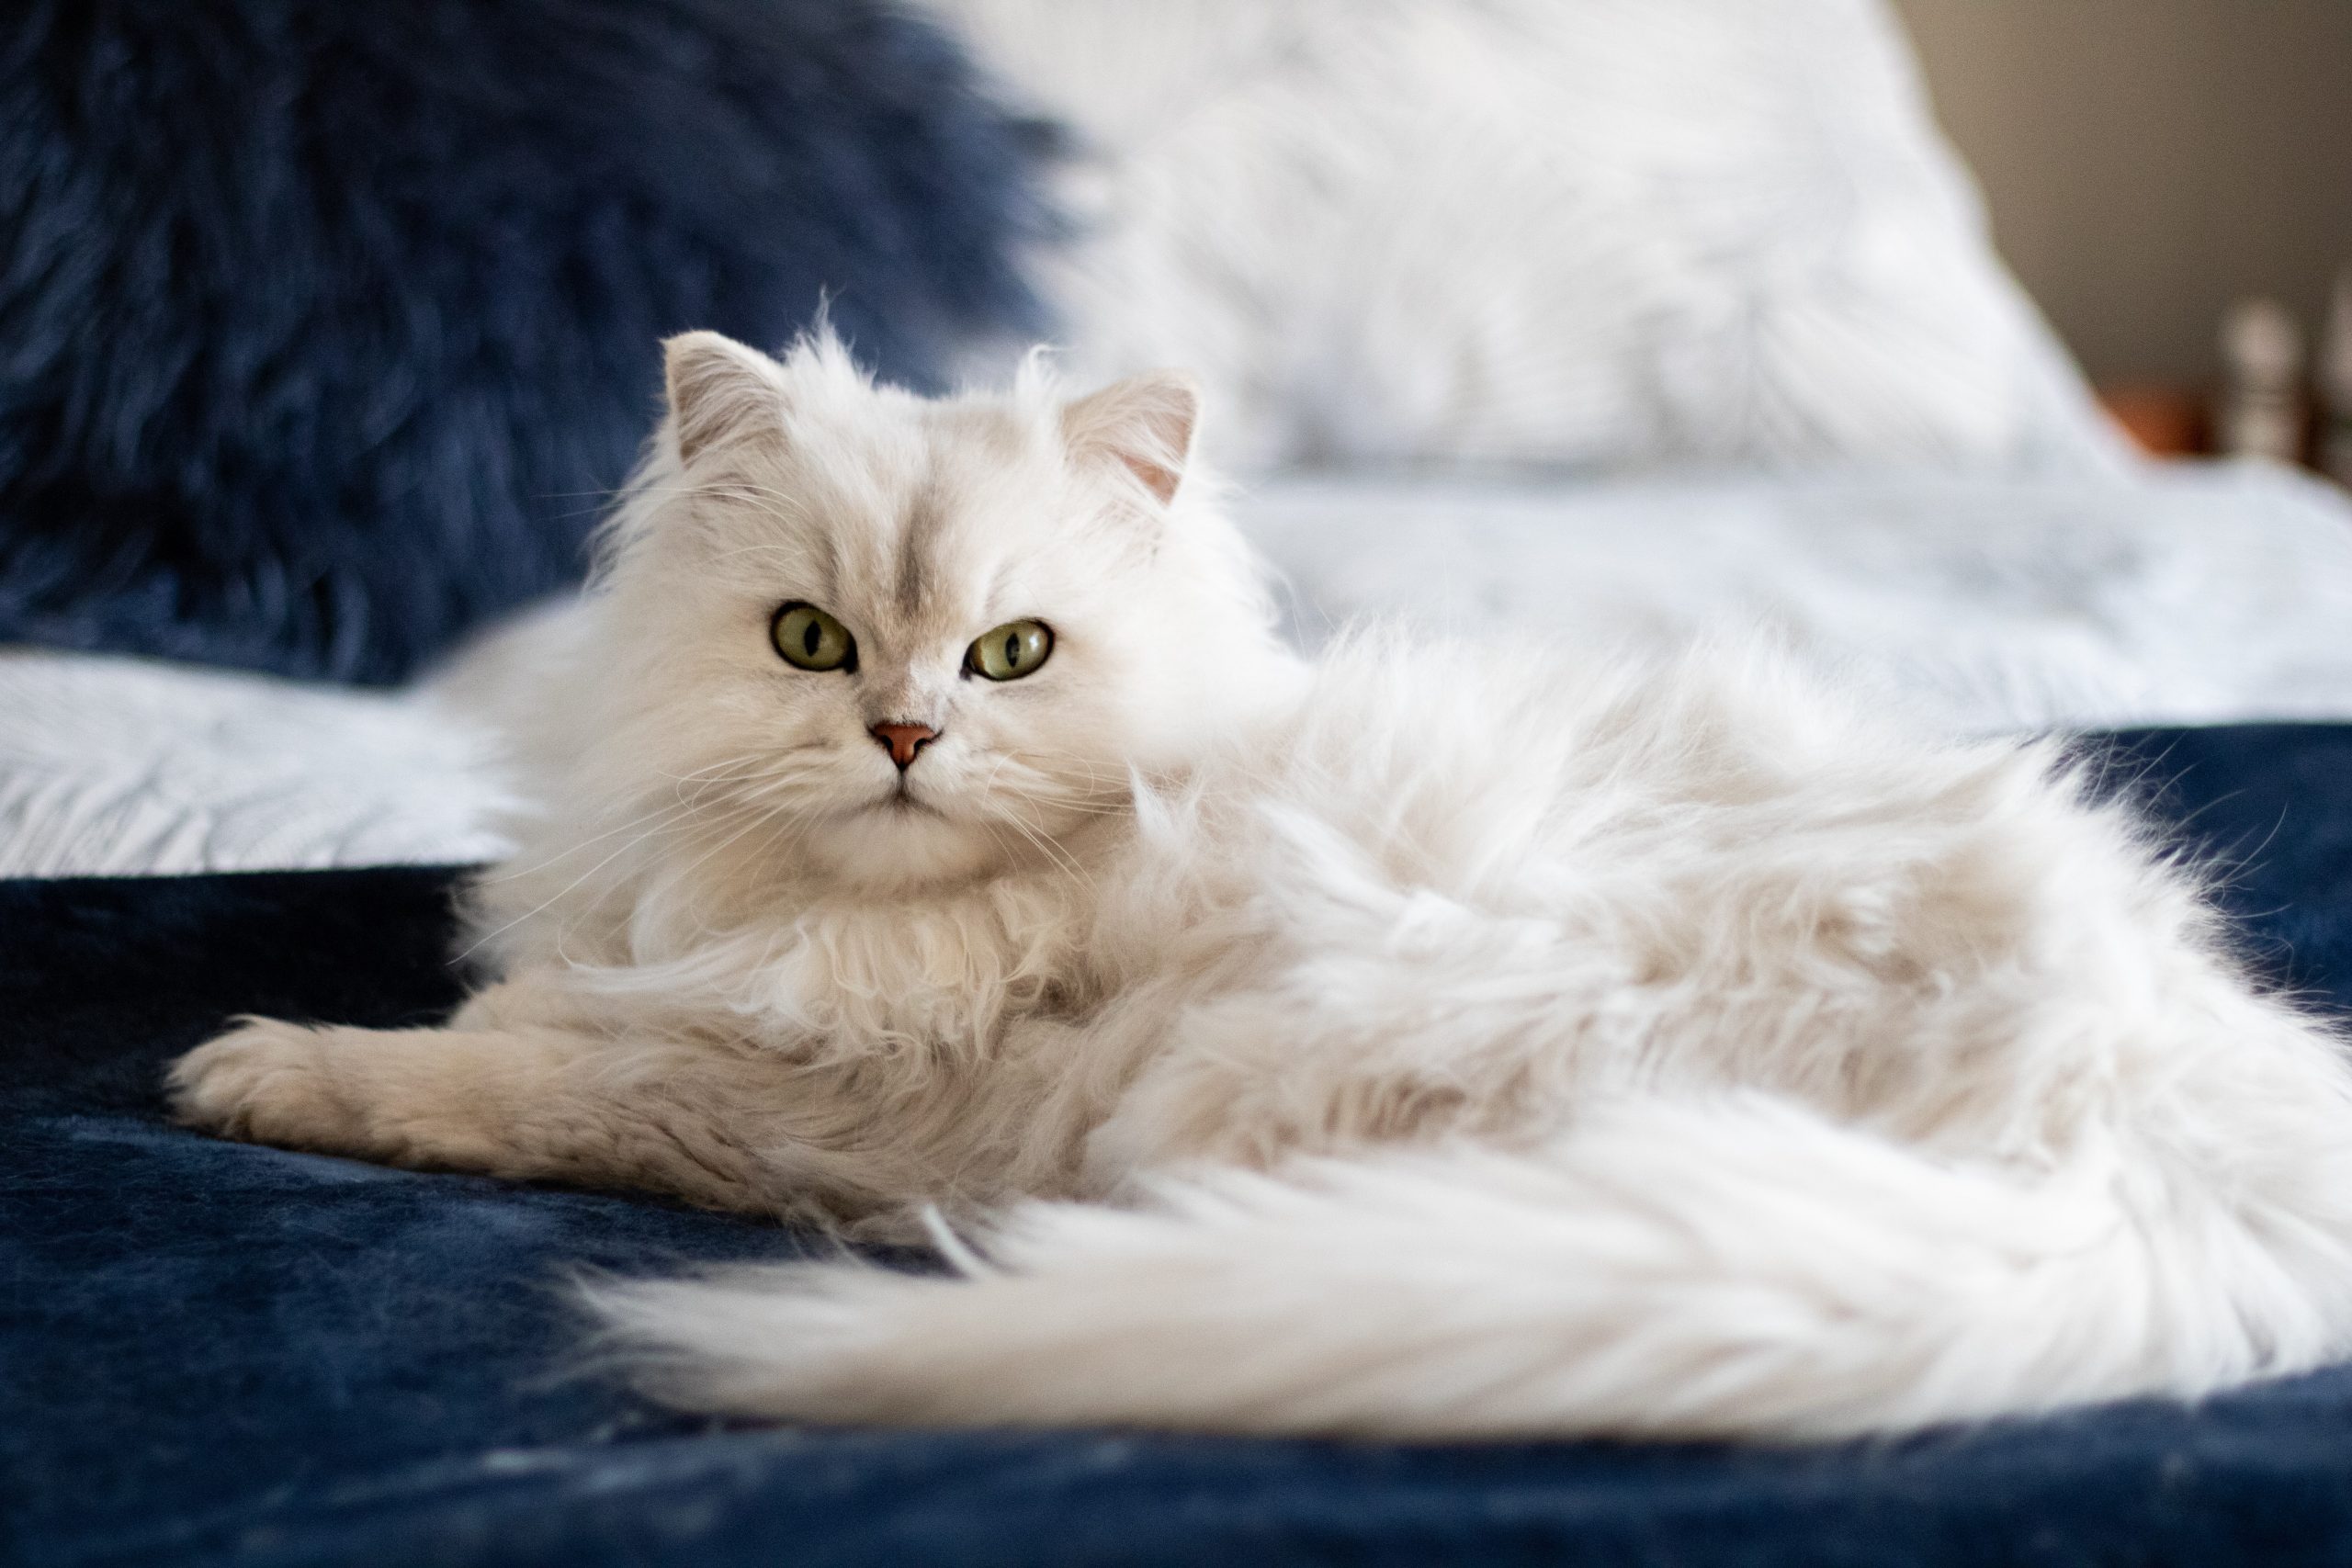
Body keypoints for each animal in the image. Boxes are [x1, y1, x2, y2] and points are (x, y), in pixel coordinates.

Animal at [170, 333, 2352, 1448]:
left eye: (1011, 657)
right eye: (808, 642)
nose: (902, 733)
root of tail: (2163, 1117)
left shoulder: (839, 1102)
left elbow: (515, 1071)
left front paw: (268, 1066)